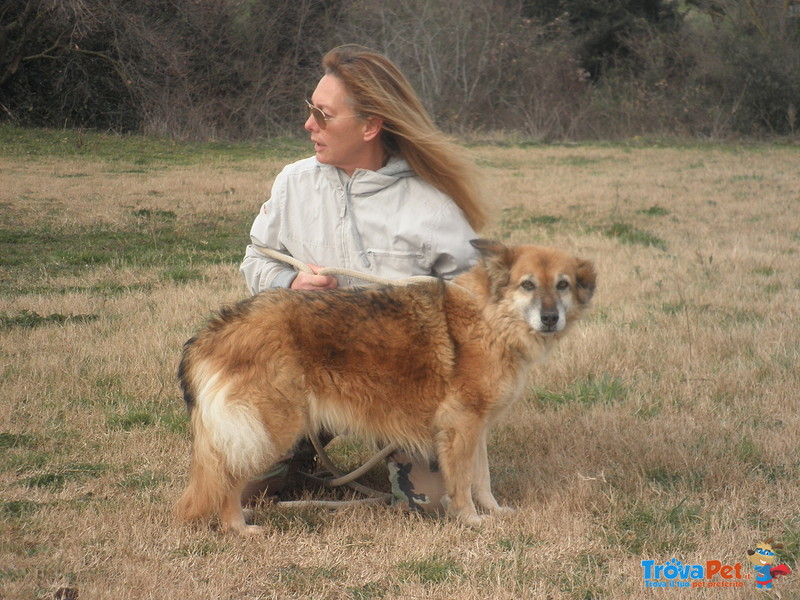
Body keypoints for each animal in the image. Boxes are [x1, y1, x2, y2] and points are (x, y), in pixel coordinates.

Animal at [178, 239, 596, 536]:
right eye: (527, 285)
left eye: (562, 285)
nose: (550, 318)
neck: (491, 317)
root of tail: (216, 329)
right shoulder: (461, 427)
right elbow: (462, 483)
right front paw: (472, 521)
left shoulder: (476, 429)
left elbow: (482, 478)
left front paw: (493, 511)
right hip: (269, 429)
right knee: (228, 479)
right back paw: (238, 526)